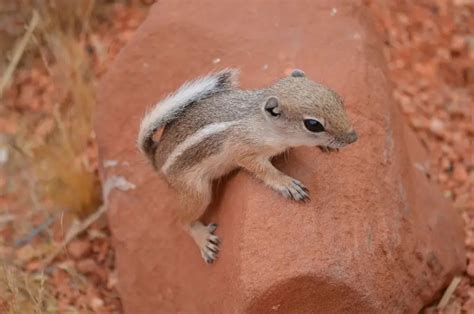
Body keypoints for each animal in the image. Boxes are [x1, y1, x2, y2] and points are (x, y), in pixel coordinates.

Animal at [136, 68, 356, 262]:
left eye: (337, 97)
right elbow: (263, 170)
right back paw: (202, 238)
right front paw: (287, 184)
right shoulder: (244, 150)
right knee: (182, 220)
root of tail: (155, 159)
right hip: (196, 192)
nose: (353, 137)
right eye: (313, 124)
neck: (263, 122)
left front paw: (325, 146)